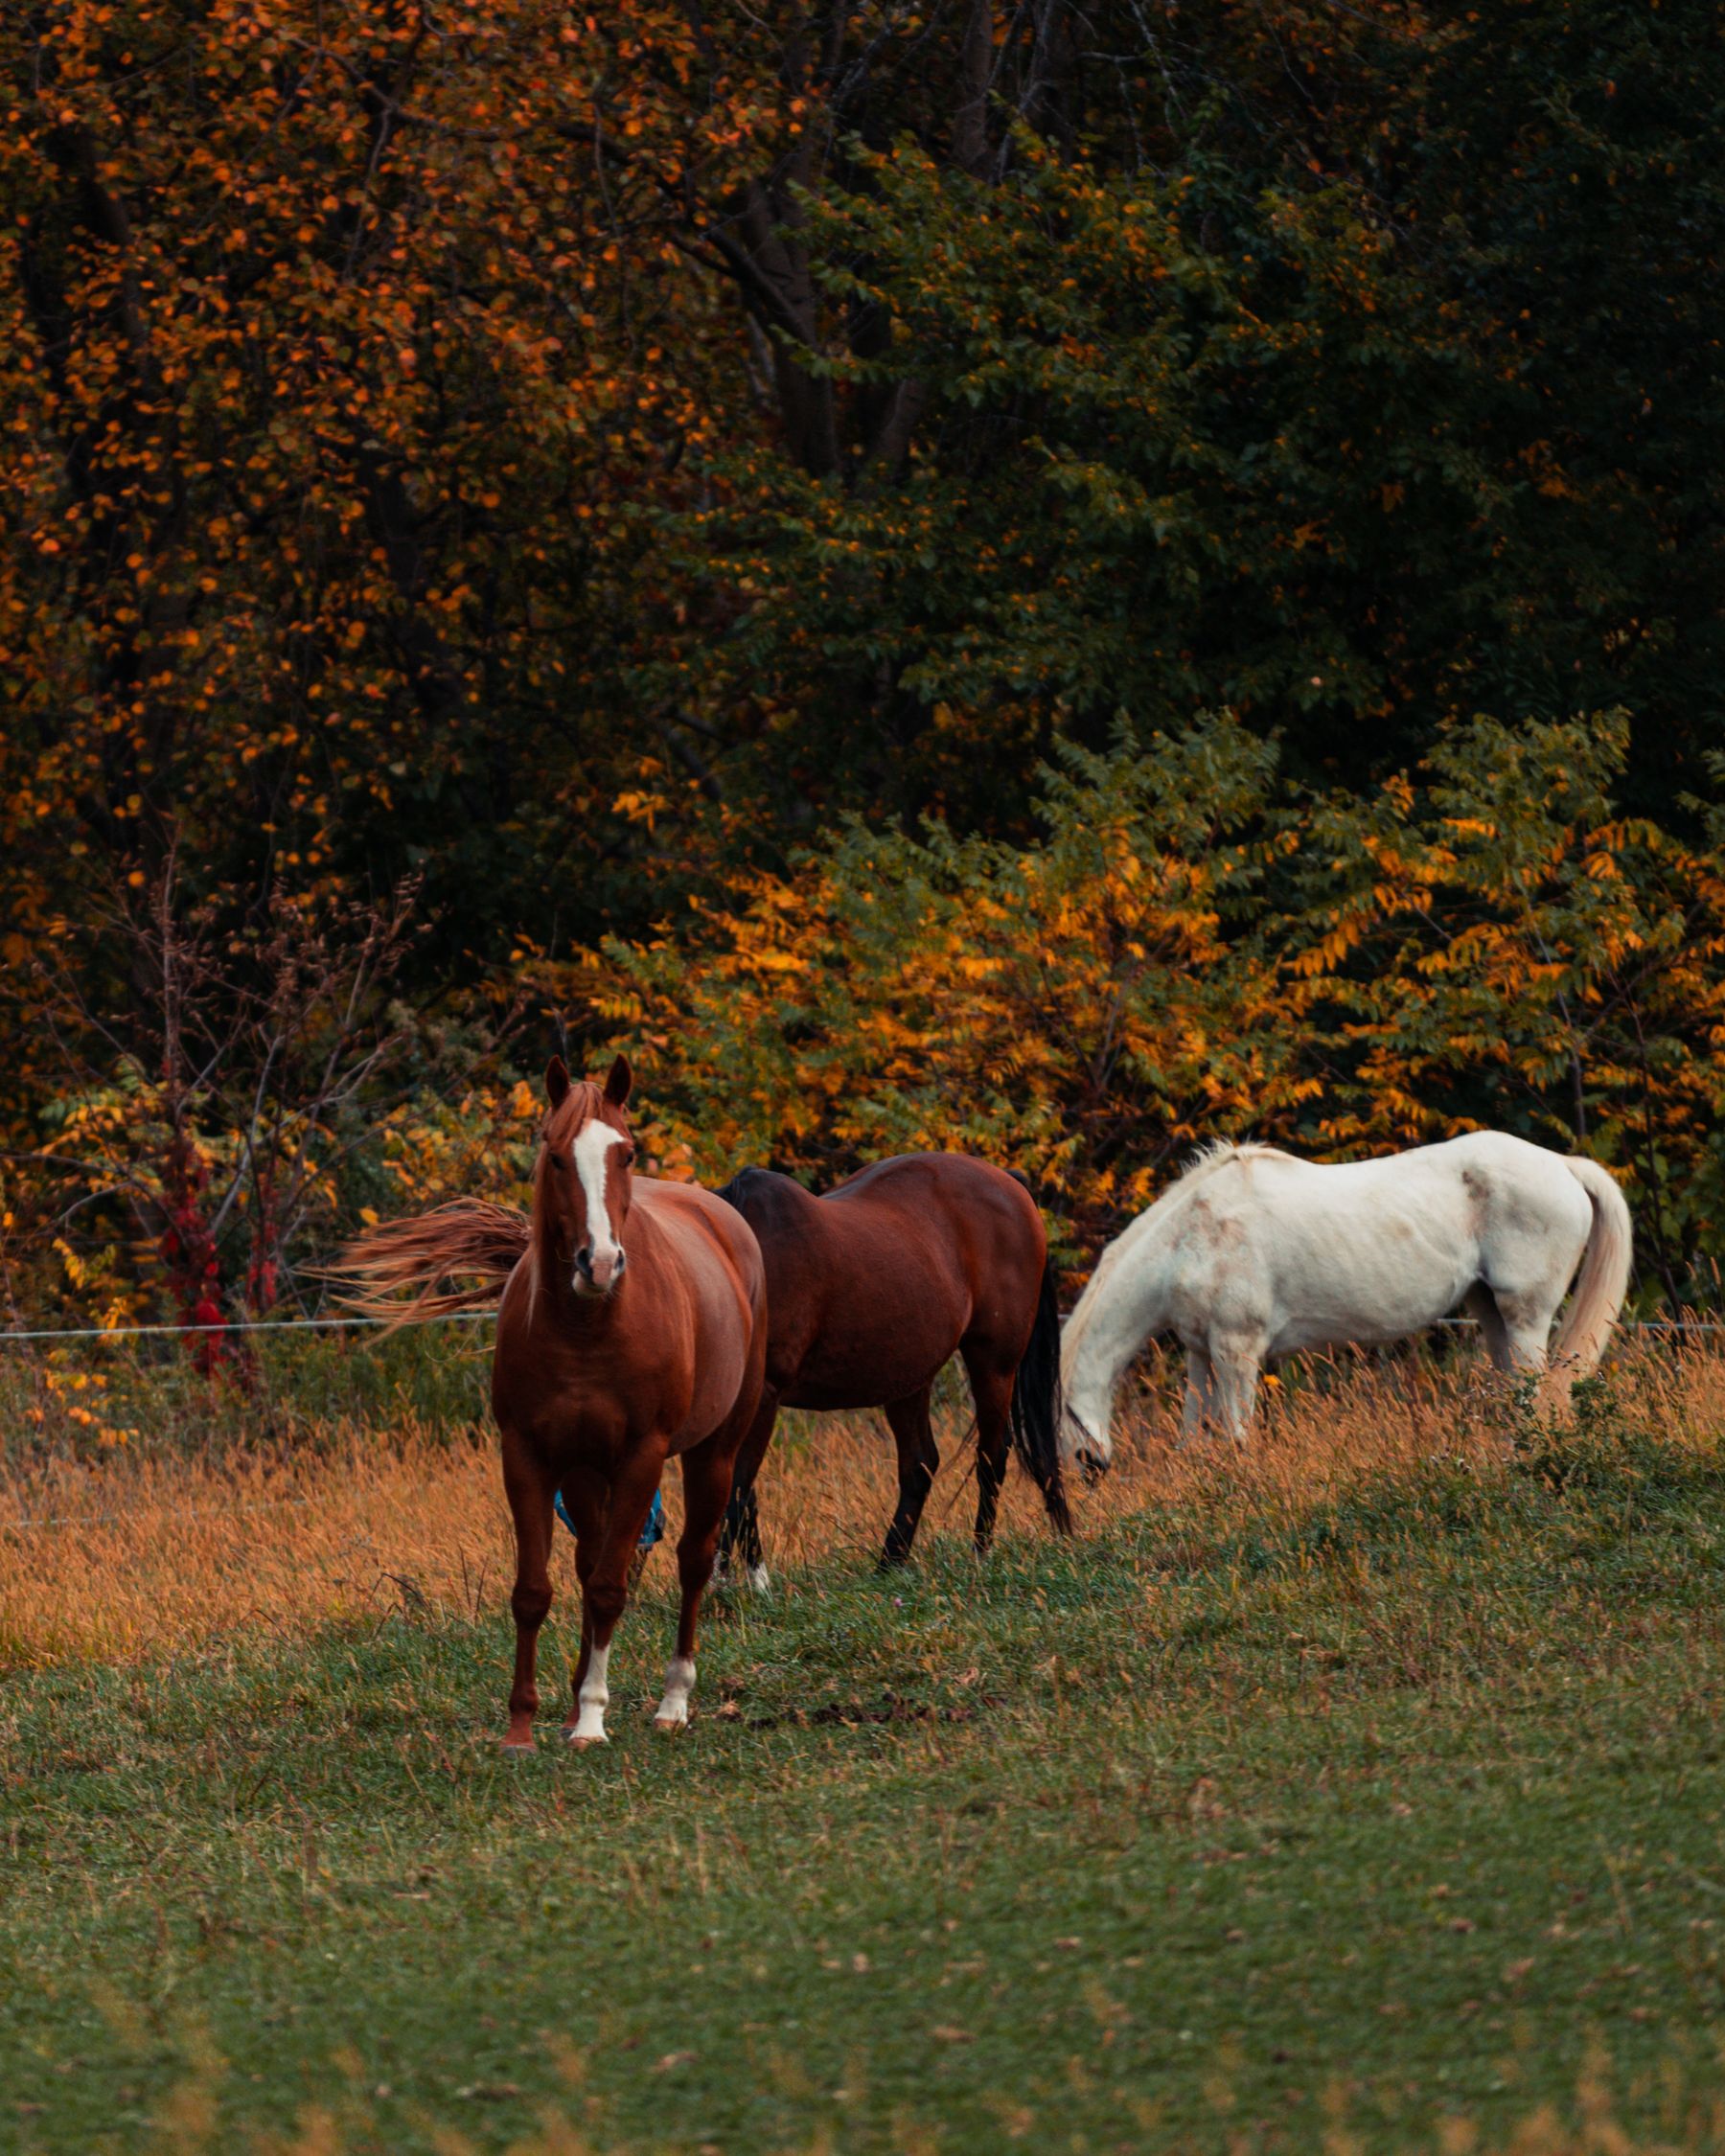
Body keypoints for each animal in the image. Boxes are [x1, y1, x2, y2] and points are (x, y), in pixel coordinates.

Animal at [337, 1055, 765, 1751]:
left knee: (693, 1563)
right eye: (556, 1154)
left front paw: (592, 1718)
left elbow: (611, 1589)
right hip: (588, 1472)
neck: (589, 1325)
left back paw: (672, 1702)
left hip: (715, 1451)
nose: (601, 1263)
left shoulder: (643, 1458)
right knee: (590, 1560)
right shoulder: (529, 1456)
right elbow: (536, 1591)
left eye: (626, 1152)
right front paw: (524, 1725)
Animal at [711, 1155, 1071, 1578]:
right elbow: (739, 1489)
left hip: (994, 1361)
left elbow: (735, 1487)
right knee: (920, 1464)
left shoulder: (764, 1395)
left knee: (992, 1454)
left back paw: (978, 1554)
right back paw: (889, 1564)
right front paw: (745, 1579)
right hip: (910, 1378)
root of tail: (1010, 1183)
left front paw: (727, 1580)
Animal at [1060, 1131, 1634, 1464]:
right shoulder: (1202, 1351)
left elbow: (1237, 1439)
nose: (1087, 1471)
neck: (1192, 1238)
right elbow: (1193, 1440)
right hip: (1489, 1310)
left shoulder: (1237, 1351)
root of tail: (1563, 1164)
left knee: (1531, 1394)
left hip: (1526, 1315)